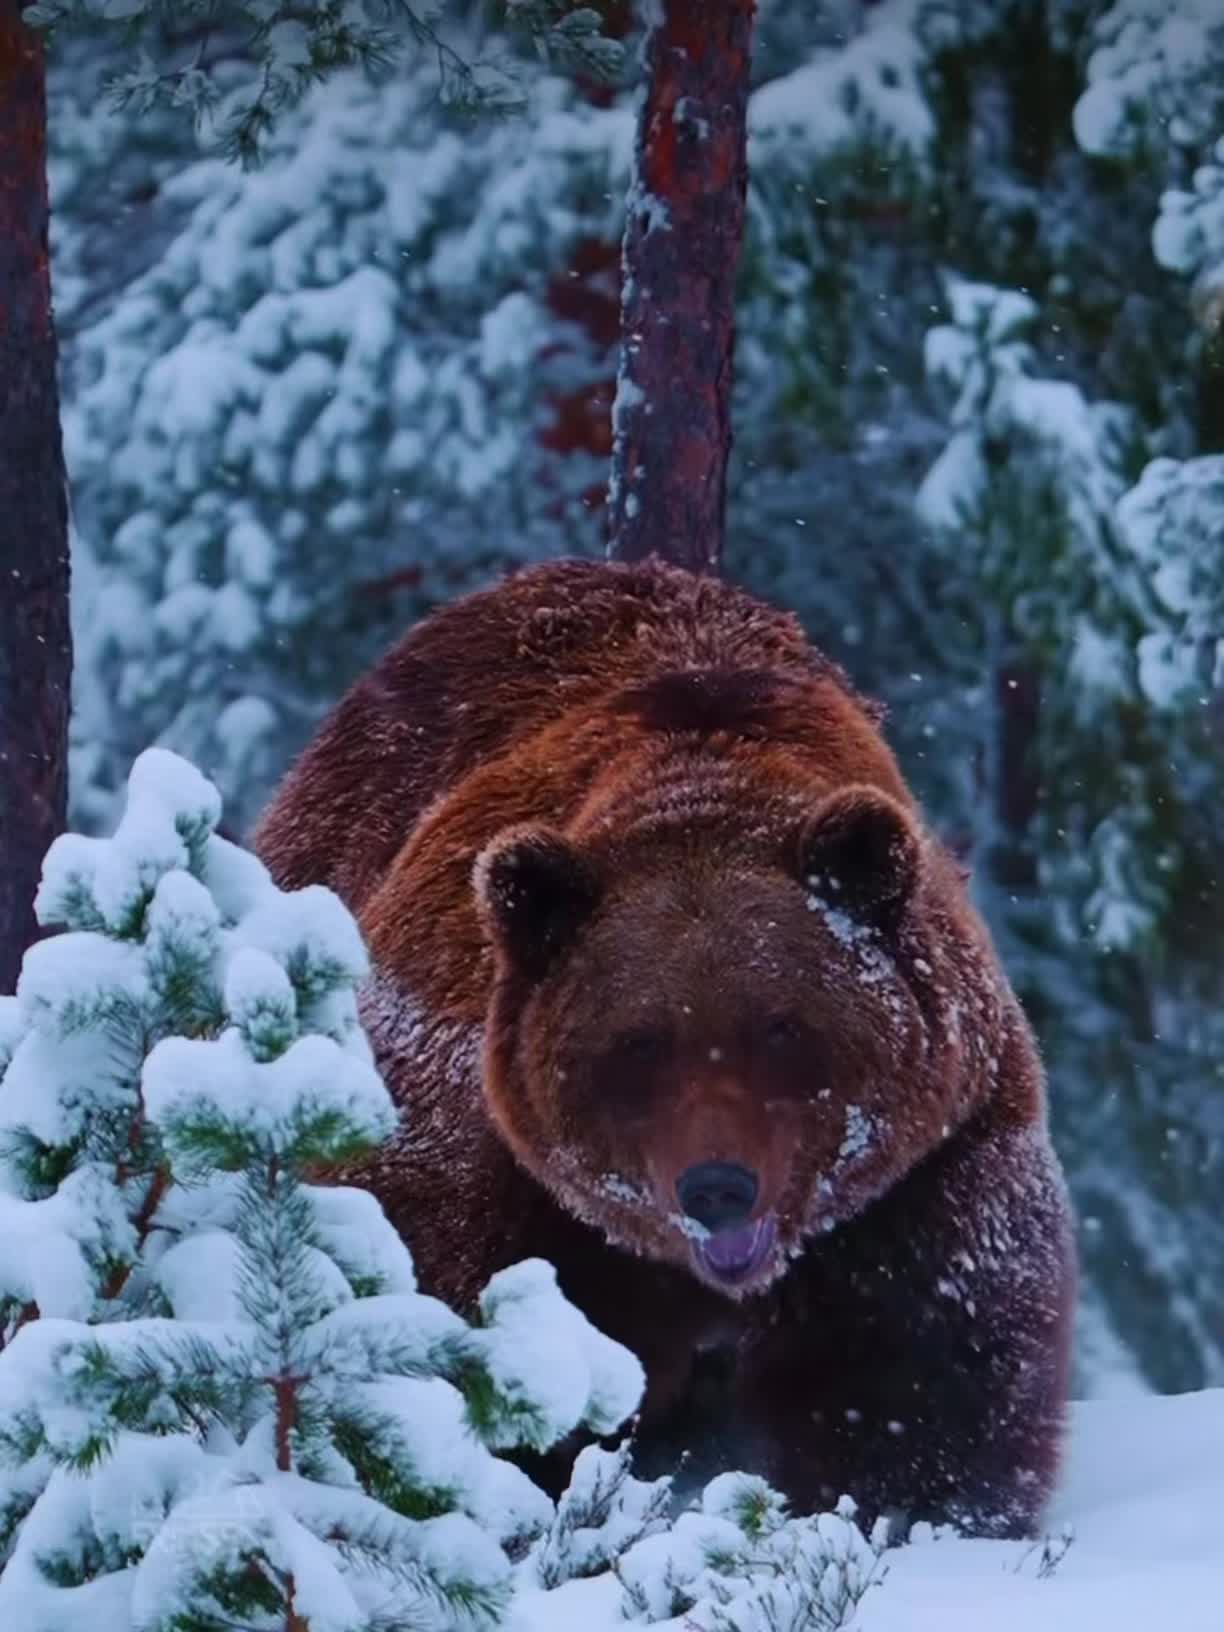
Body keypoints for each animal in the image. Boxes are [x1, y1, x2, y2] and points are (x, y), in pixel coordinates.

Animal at [254, 554, 1077, 1534]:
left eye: (781, 1027)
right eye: (639, 1043)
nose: (718, 1186)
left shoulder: (922, 1168)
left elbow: (914, 1375)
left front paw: (916, 1508)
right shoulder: (480, 1151)